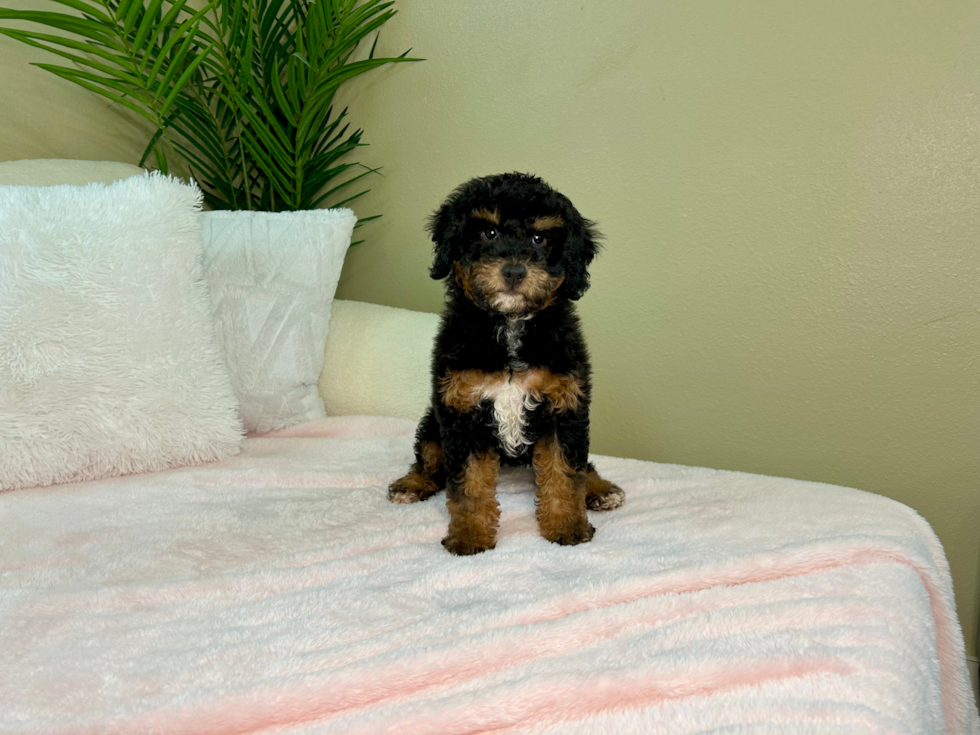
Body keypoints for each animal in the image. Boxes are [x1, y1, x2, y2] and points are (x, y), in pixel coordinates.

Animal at [386, 172, 624, 556]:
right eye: (489, 232)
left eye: (540, 238)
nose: (513, 272)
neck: (510, 324)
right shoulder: (461, 408)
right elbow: (467, 482)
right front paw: (470, 535)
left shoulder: (565, 405)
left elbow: (565, 472)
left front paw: (567, 527)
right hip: (433, 422)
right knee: (431, 459)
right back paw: (413, 483)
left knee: (583, 463)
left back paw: (600, 489)